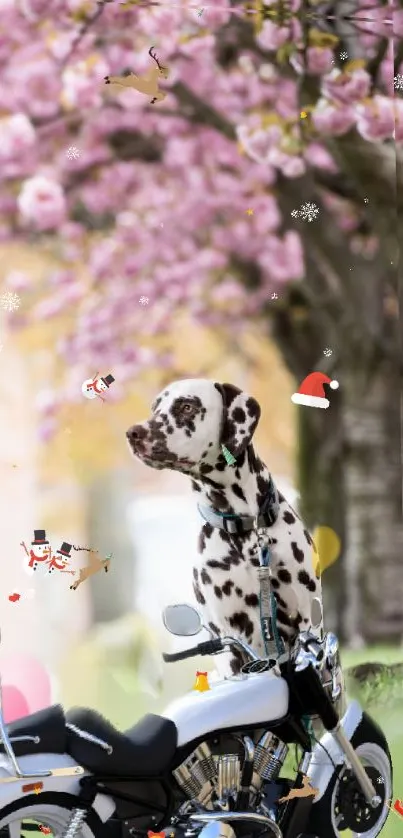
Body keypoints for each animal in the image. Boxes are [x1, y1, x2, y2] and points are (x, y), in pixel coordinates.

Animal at [128, 378, 324, 676]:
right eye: (155, 408)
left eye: (186, 406)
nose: (133, 433)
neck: (244, 531)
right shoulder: (235, 638)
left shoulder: (308, 620)